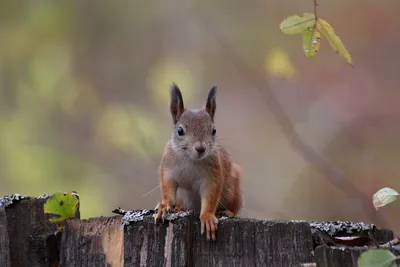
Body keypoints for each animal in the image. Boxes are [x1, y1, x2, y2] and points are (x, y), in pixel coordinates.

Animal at [155, 83, 244, 241]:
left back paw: (227, 212)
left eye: (214, 130)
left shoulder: (213, 176)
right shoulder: (167, 169)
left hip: (233, 189)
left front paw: (207, 217)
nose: (201, 148)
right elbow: (167, 188)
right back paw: (178, 208)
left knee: (234, 207)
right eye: (180, 131)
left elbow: (210, 197)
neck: (191, 159)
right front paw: (165, 206)